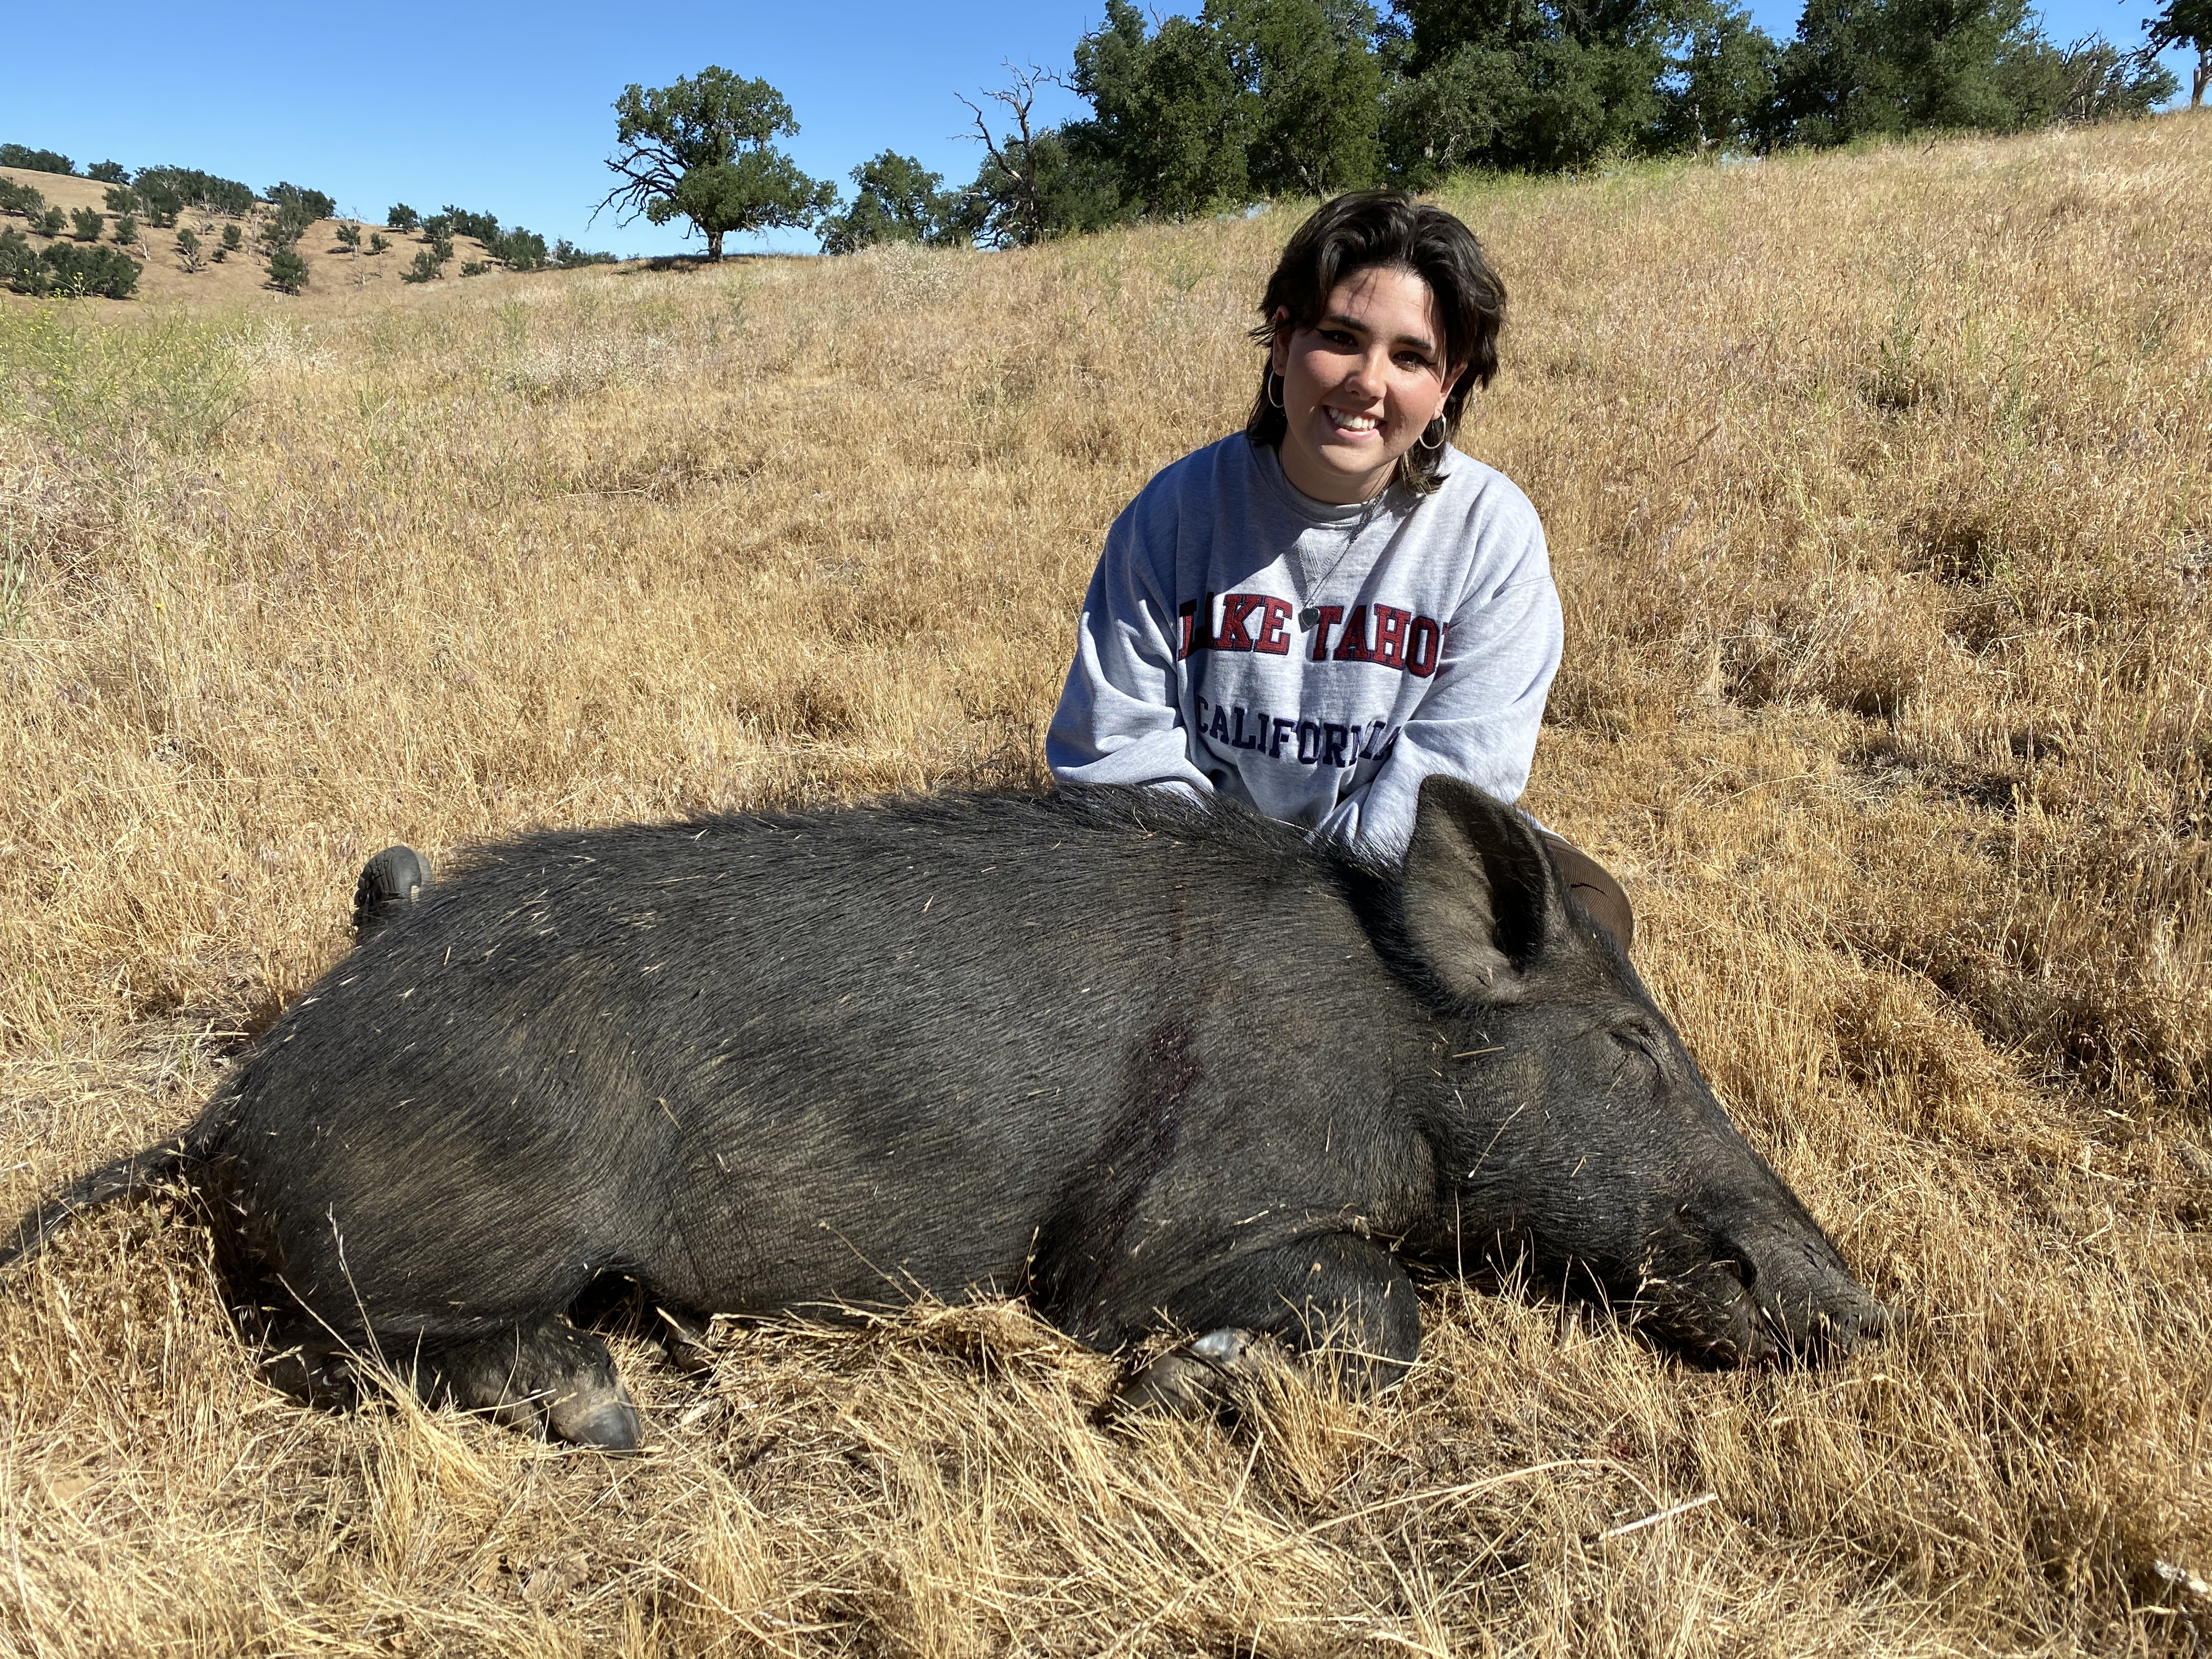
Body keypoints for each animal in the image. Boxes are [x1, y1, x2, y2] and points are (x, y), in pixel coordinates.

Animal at [3, 779, 1888, 1449]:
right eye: (1638, 1045)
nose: (1870, 1311)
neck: (1394, 1052)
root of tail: (230, 1105)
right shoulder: (1135, 1234)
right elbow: (1382, 1307)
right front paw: (1174, 1398)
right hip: (444, 1224)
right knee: (340, 1340)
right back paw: (603, 1409)